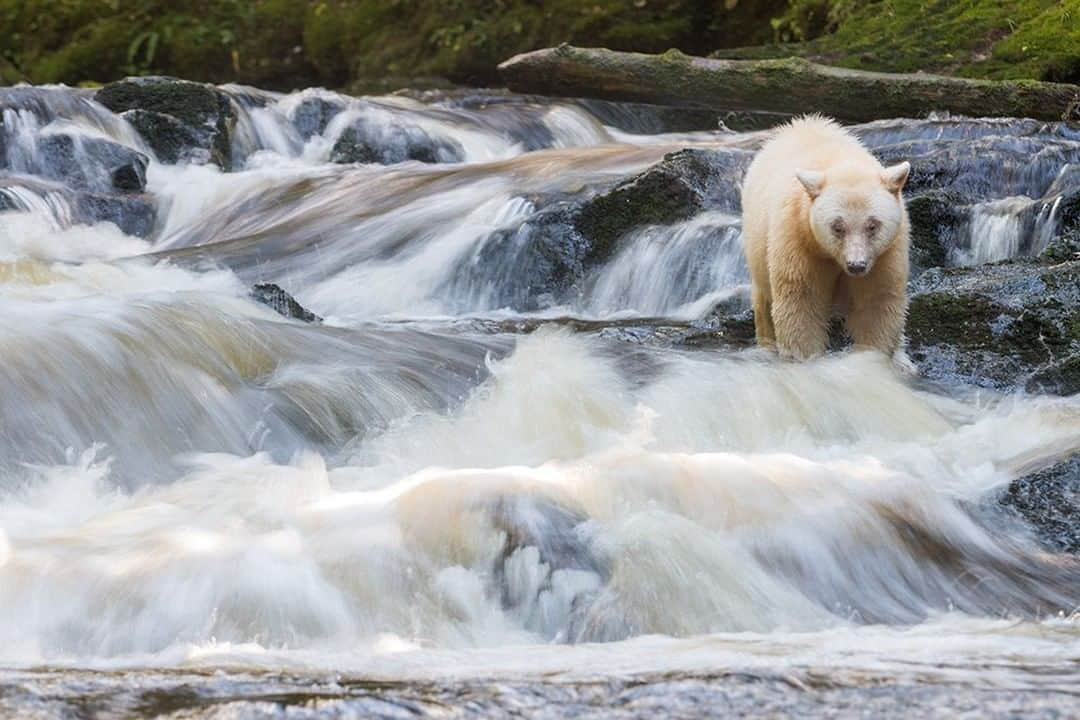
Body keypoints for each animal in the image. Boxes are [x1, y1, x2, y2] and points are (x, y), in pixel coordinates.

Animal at [738, 117, 907, 360]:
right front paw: (806, 358)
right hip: (758, 248)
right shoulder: (798, 240)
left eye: (872, 225)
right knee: (763, 303)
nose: (856, 265)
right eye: (837, 227)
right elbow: (802, 305)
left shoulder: (885, 255)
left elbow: (876, 303)